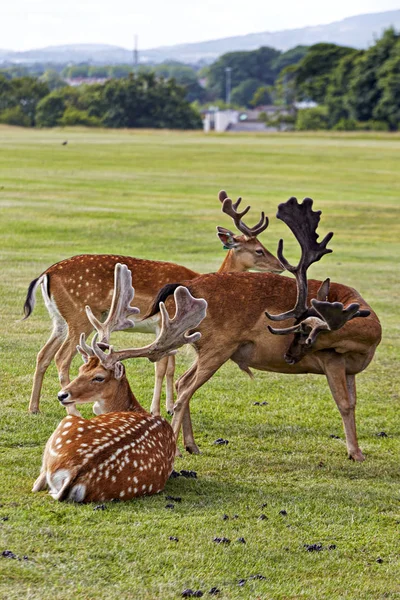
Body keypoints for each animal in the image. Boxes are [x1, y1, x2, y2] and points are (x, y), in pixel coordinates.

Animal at [23, 192, 282, 418]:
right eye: (259, 250)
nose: (280, 265)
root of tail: (46, 274)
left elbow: (170, 368)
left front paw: (169, 407)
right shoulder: (162, 324)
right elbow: (161, 368)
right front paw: (157, 410)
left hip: (60, 320)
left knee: (43, 354)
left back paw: (34, 408)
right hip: (80, 317)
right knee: (61, 358)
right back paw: (73, 411)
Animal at [32, 264, 206, 504]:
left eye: (99, 377)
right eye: (81, 370)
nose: (62, 395)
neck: (130, 407)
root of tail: (75, 472)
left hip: (66, 424)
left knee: (38, 481)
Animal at [145, 195, 382, 462]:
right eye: (300, 331)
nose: (288, 356)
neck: (367, 342)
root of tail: (183, 287)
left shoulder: (351, 369)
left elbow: (353, 403)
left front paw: (357, 450)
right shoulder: (331, 359)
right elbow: (343, 404)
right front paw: (355, 453)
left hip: (205, 345)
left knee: (182, 382)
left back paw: (192, 445)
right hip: (218, 345)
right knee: (185, 389)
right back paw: (176, 449)